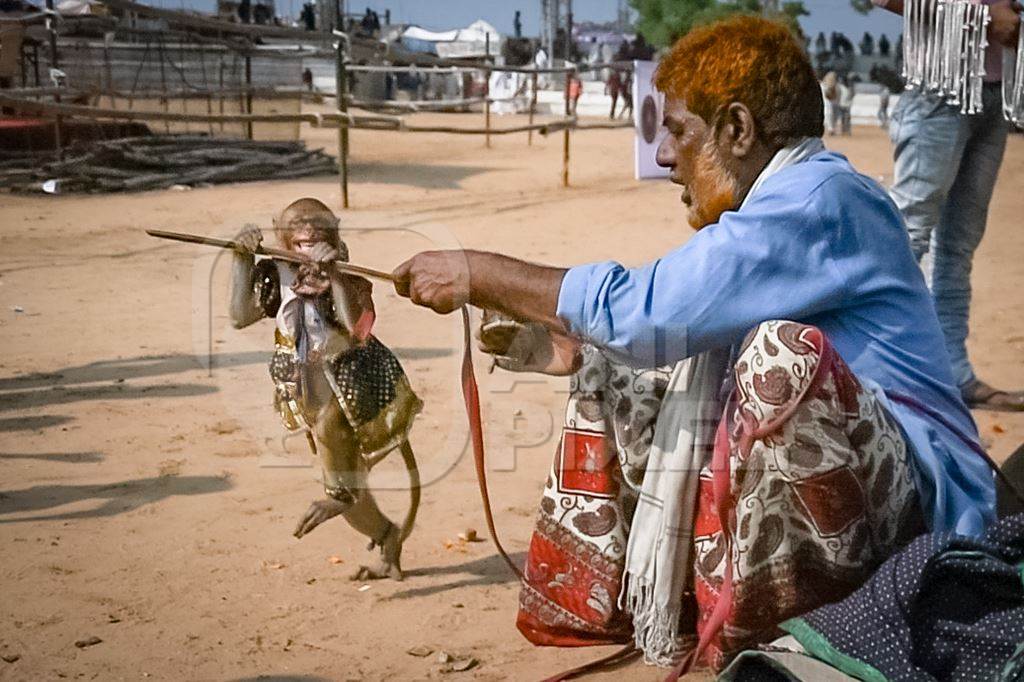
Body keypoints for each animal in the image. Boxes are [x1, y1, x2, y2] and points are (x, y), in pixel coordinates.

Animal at [231, 196, 419, 577]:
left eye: (317, 231)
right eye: (298, 231)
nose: (309, 243)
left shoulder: (356, 283)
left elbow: (356, 323)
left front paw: (328, 263)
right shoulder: (271, 273)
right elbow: (242, 317)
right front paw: (245, 241)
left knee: (331, 427)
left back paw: (340, 505)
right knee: (357, 493)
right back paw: (386, 539)